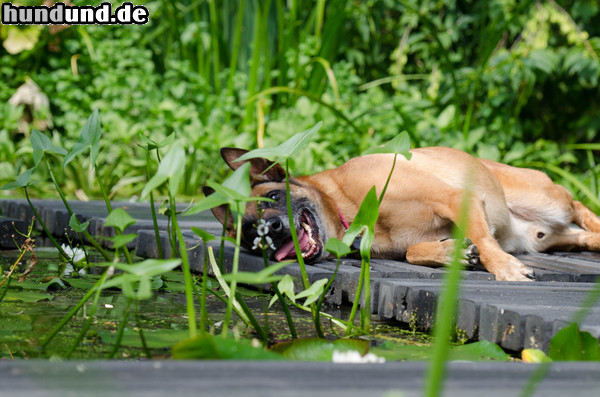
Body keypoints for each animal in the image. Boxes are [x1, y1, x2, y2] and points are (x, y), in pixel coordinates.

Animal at [205, 146, 600, 282]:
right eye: (250, 233)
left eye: (274, 196)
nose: (271, 229)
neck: (348, 207)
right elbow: (412, 252)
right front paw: (449, 252)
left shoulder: (457, 198)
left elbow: (485, 241)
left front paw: (503, 268)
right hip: (546, 238)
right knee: (580, 236)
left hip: (548, 200)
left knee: (581, 207)